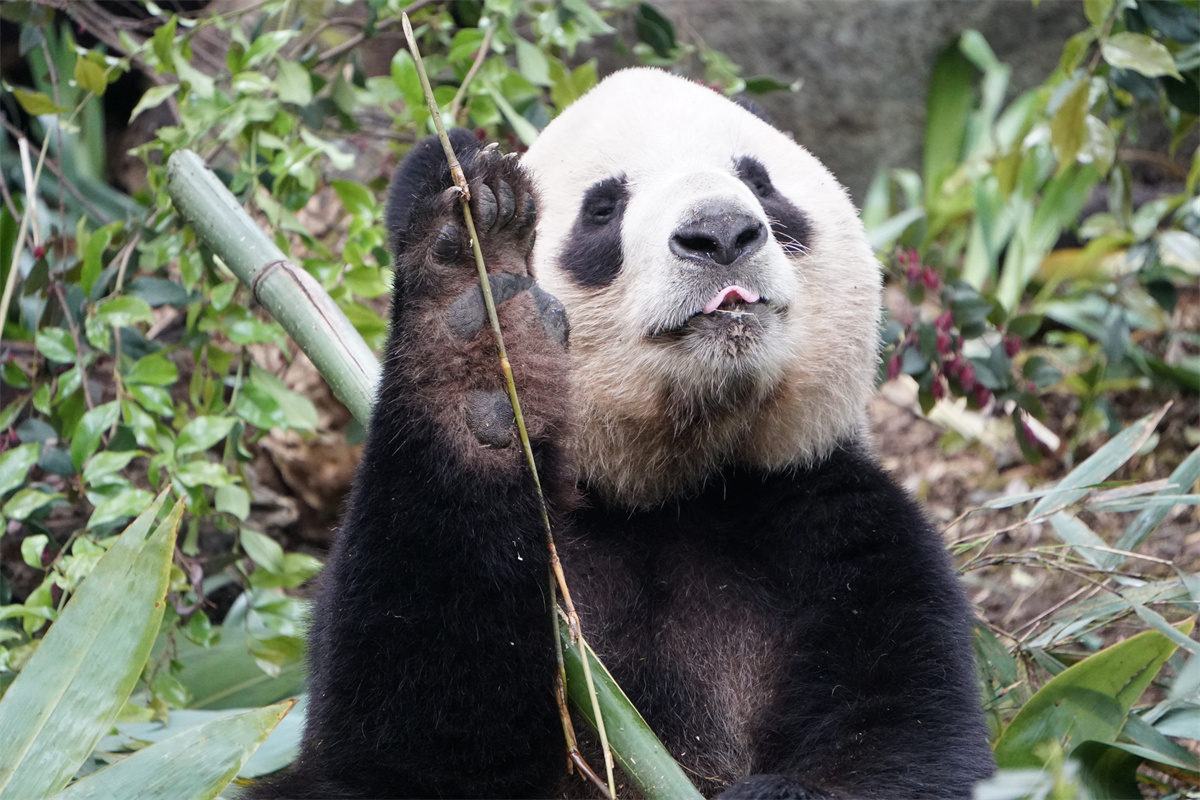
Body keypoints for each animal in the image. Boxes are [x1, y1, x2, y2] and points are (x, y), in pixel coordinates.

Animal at [246, 68, 993, 800]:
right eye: (603, 209)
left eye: (759, 182)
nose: (721, 234)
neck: (670, 490)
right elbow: (403, 735)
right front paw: (480, 316)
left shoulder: (835, 529)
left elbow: (911, 741)